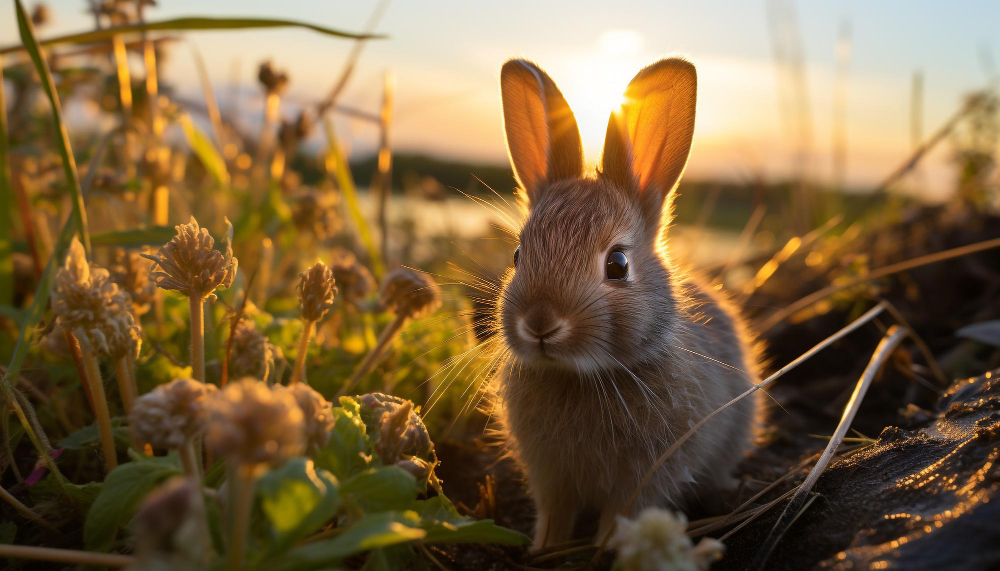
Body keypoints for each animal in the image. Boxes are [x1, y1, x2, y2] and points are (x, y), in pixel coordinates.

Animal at [493, 57, 763, 550]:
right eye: (518, 255)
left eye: (617, 264)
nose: (540, 323)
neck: (582, 377)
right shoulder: (549, 478)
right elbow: (555, 510)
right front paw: (547, 547)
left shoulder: (650, 474)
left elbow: (624, 510)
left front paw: (607, 548)